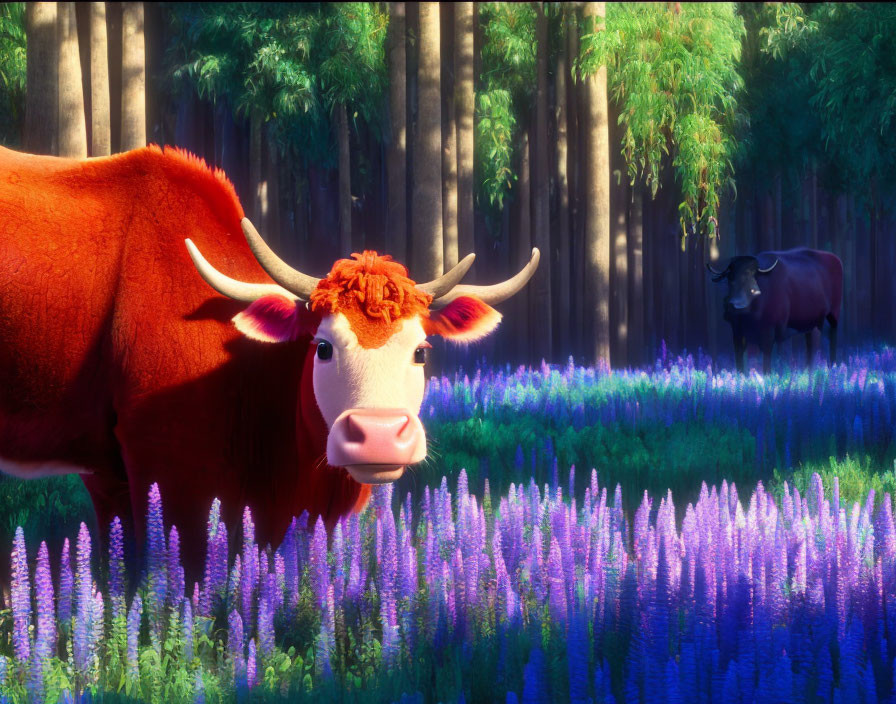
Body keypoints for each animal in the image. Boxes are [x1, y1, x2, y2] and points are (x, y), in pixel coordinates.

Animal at [708, 250, 840, 376]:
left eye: (753, 273)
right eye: (730, 277)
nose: (734, 304)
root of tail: (834, 258)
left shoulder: (769, 329)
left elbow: (767, 354)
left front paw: (768, 376)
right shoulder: (737, 331)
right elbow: (739, 355)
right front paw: (741, 377)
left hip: (834, 314)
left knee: (832, 335)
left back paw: (832, 366)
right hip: (813, 323)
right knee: (811, 343)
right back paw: (809, 370)